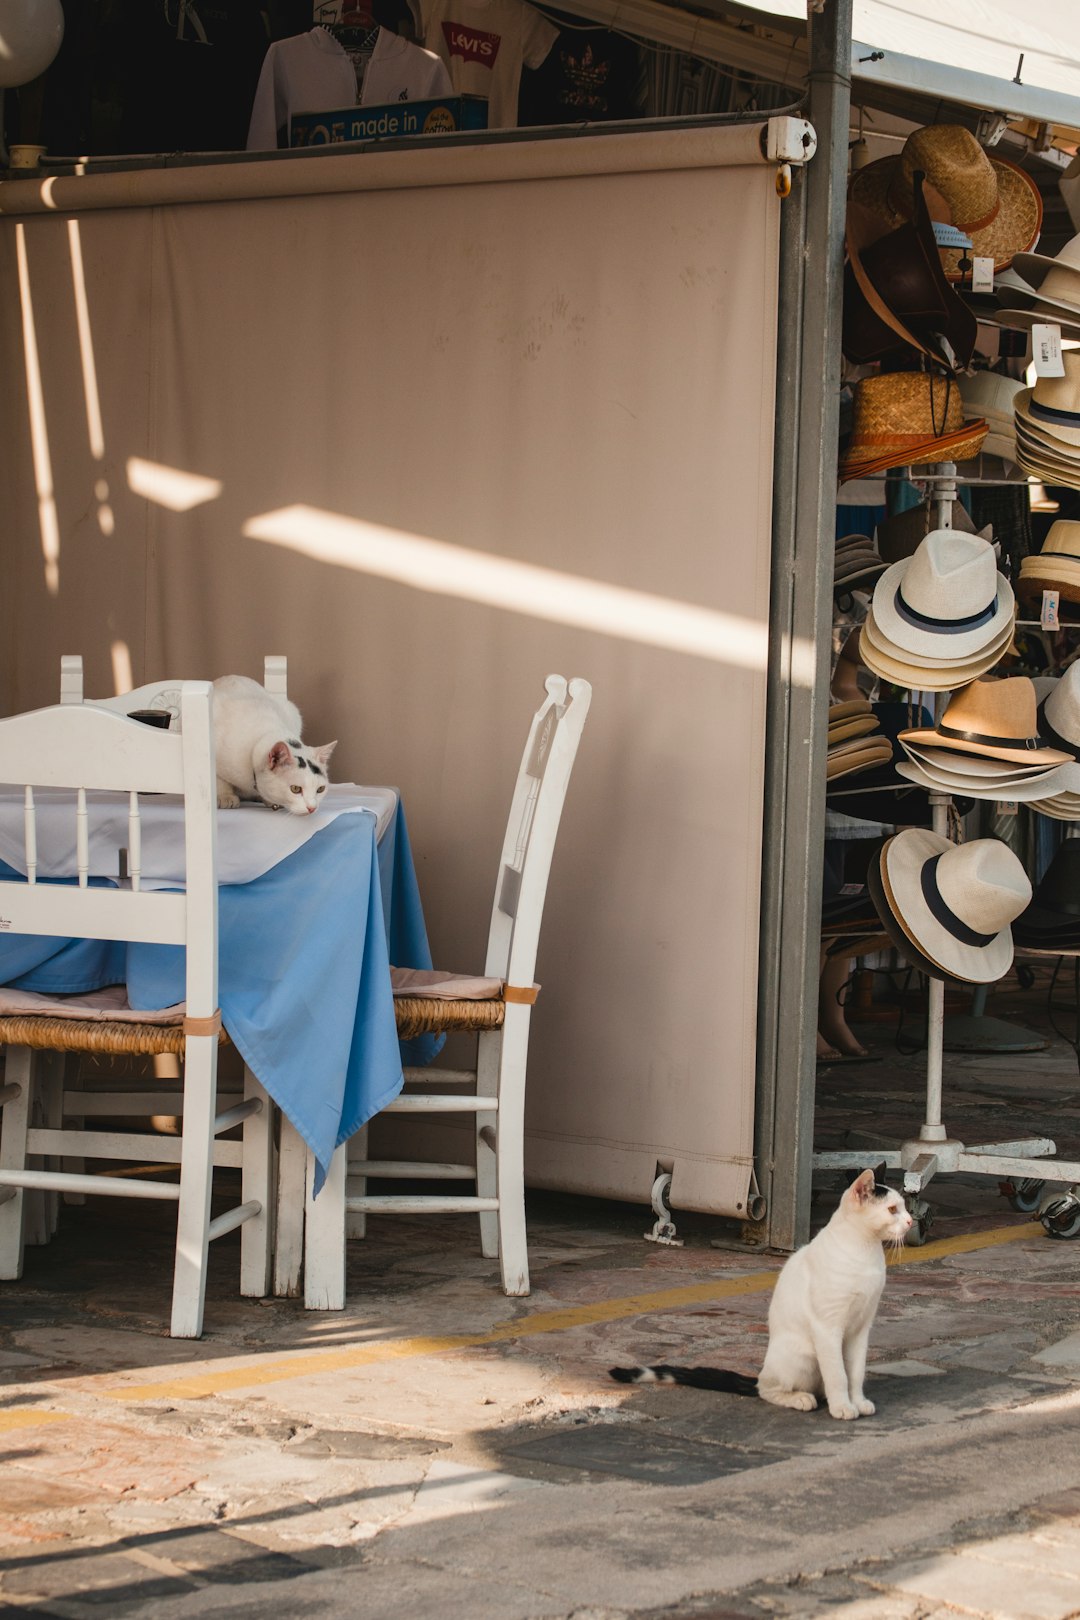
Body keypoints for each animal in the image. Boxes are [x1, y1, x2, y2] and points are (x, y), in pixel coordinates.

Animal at [612, 1172, 906, 1425]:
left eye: (903, 1208)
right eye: (892, 1210)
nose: (910, 1222)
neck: (864, 1251)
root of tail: (761, 1373)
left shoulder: (861, 1328)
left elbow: (855, 1373)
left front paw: (857, 1401)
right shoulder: (828, 1327)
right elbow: (838, 1375)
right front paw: (843, 1407)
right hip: (804, 1356)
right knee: (770, 1389)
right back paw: (801, 1398)